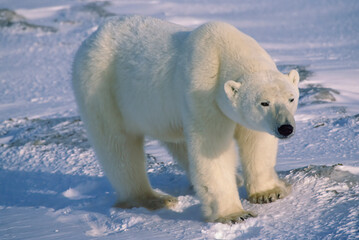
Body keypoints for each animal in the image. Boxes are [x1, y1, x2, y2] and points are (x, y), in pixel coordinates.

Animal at [71, 16, 300, 223]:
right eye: (264, 103)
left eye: (291, 98)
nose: (285, 128)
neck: (225, 48)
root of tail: (91, 38)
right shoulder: (203, 92)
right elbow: (211, 148)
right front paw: (234, 214)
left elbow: (257, 142)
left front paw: (268, 193)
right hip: (101, 87)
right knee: (119, 147)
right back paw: (154, 199)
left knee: (177, 142)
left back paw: (234, 178)